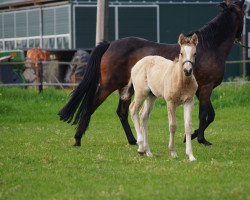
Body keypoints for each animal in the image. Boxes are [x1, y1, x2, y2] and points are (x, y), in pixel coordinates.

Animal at [59, 0, 245, 147]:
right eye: (245, 12)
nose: (241, 37)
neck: (209, 47)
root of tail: (110, 44)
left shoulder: (200, 90)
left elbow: (211, 115)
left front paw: (190, 136)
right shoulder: (206, 88)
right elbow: (205, 114)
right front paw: (199, 139)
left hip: (126, 88)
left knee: (122, 112)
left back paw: (133, 140)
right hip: (108, 86)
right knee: (90, 107)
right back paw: (77, 139)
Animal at [122, 33, 198, 161]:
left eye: (195, 53)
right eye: (181, 53)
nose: (188, 71)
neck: (181, 81)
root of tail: (137, 64)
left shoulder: (189, 101)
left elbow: (188, 126)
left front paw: (191, 156)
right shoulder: (170, 102)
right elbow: (172, 126)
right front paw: (173, 152)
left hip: (151, 96)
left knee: (143, 116)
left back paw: (148, 151)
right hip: (141, 93)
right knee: (133, 110)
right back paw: (140, 147)